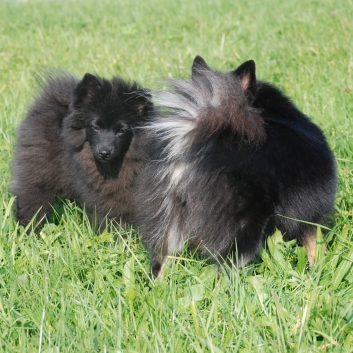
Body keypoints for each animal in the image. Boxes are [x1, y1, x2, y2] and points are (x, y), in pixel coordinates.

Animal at [11, 72, 152, 231]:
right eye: (96, 127)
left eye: (121, 130)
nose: (104, 152)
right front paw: (115, 234)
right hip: (38, 172)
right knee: (32, 199)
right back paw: (29, 229)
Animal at [133, 55, 336, 276]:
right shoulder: (310, 219)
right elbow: (315, 248)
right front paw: (318, 271)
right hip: (241, 232)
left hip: (167, 225)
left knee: (159, 264)